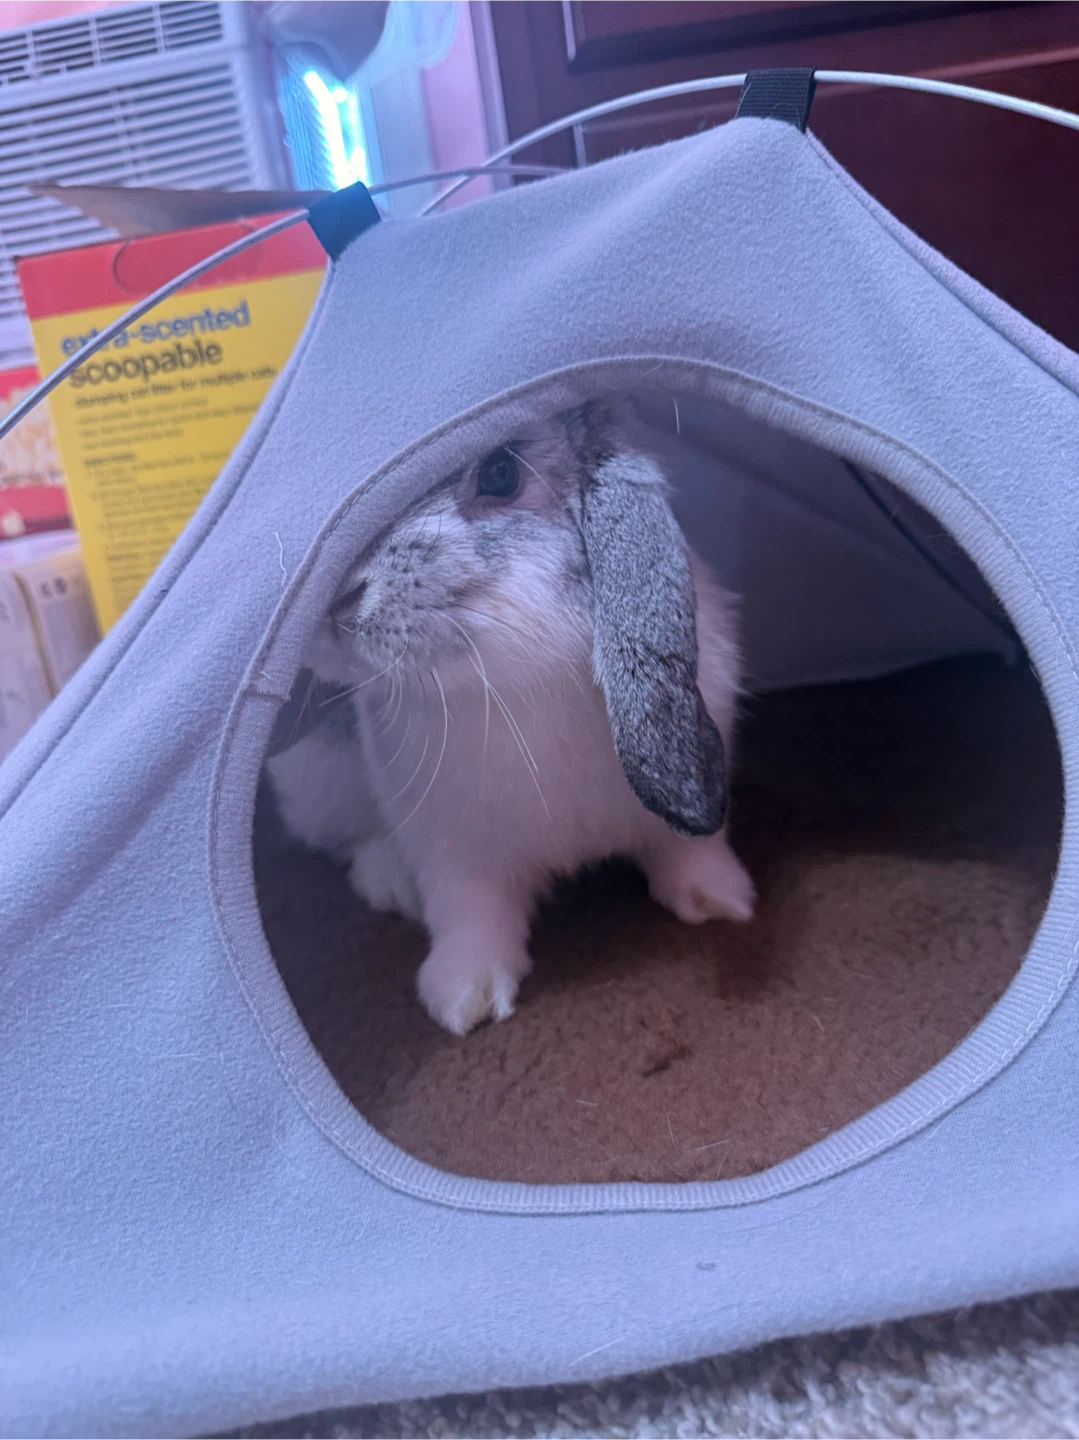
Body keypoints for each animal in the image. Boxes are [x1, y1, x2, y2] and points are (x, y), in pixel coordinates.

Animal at [265, 401, 756, 1035]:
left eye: (500, 474)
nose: (338, 601)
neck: (512, 686)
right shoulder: (454, 853)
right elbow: (472, 917)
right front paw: (463, 1000)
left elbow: (691, 849)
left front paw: (721, 902)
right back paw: (387, 880)